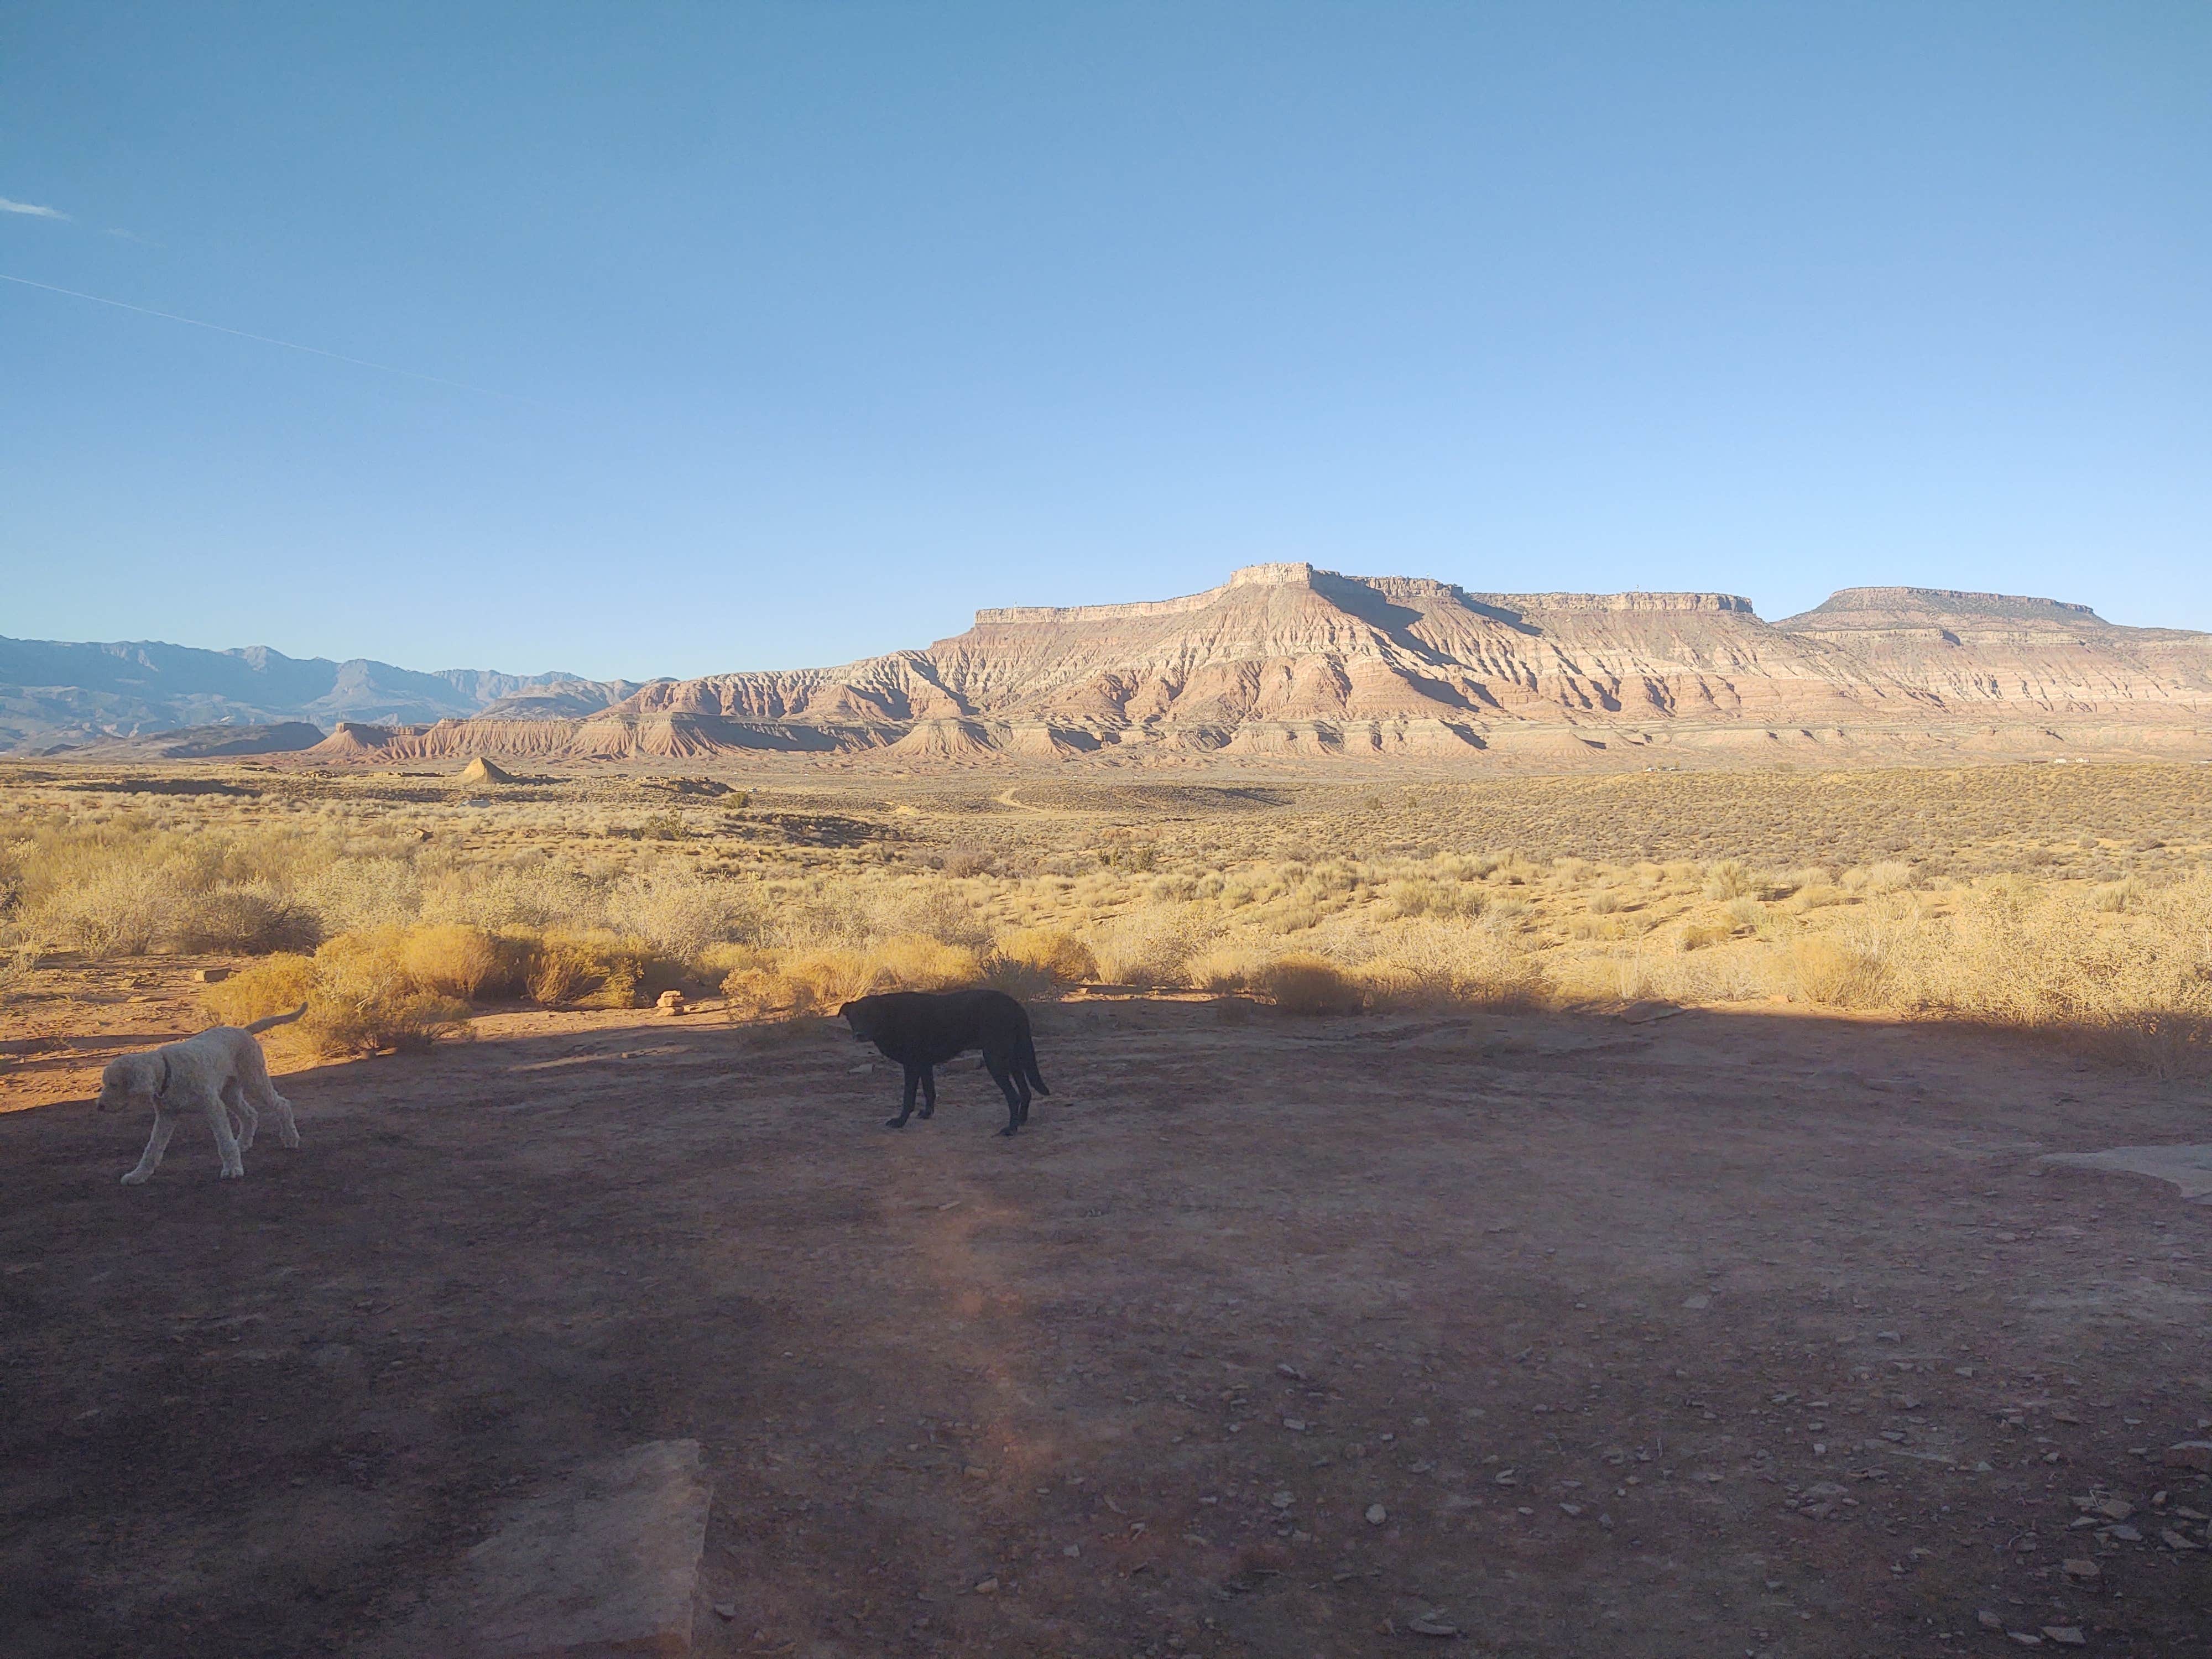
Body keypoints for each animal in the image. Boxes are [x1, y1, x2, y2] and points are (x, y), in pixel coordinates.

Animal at [97, 1009, 307, 1186]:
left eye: (114, 1084)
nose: (100, 1107)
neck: (168, 1071)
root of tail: (244, 1030)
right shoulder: (166, 1116)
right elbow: (152, 1148)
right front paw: (138, 1175)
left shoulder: (213, 1107)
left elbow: (224, 1142)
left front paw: (232, 1169)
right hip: (230, 1092)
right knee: (250, 1114)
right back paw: (242, 1143)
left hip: (254, 1080)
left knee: (281, 1105)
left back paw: (290, 1139)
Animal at [845, 995, 1053, 1141]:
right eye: (854, 1018)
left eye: (871, 1015)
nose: (860, 1034)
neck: (890, 1016)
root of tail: (1016, 1007)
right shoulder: (924, 1065)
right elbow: (929, 1091)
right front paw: (927, 1114)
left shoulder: (912, 1066)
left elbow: (908, 1098)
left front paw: (900, 1121)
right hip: (1014, 1060)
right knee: (1026, 1092)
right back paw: (1021, 1121)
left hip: (995, 1060)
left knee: (1014, 1096)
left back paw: (1010, 1129)